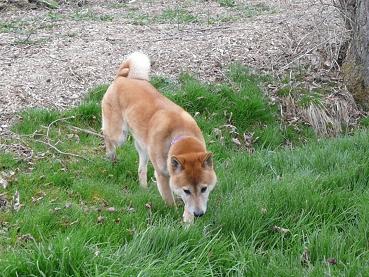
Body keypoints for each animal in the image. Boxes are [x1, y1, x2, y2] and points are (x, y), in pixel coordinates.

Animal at [100, 52, 216, 223]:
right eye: (186, 190)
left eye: (204, 188)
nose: (199, 214)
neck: (179, 135)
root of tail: (122, 77)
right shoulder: (162, 175)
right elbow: (169, 199)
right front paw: (175, 214)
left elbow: (188, 205)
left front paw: (188, 220)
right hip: (119, 134)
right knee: (107, 136)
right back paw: (111, 156)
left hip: (143, 147)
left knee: (141, 169)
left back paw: (143, 187)